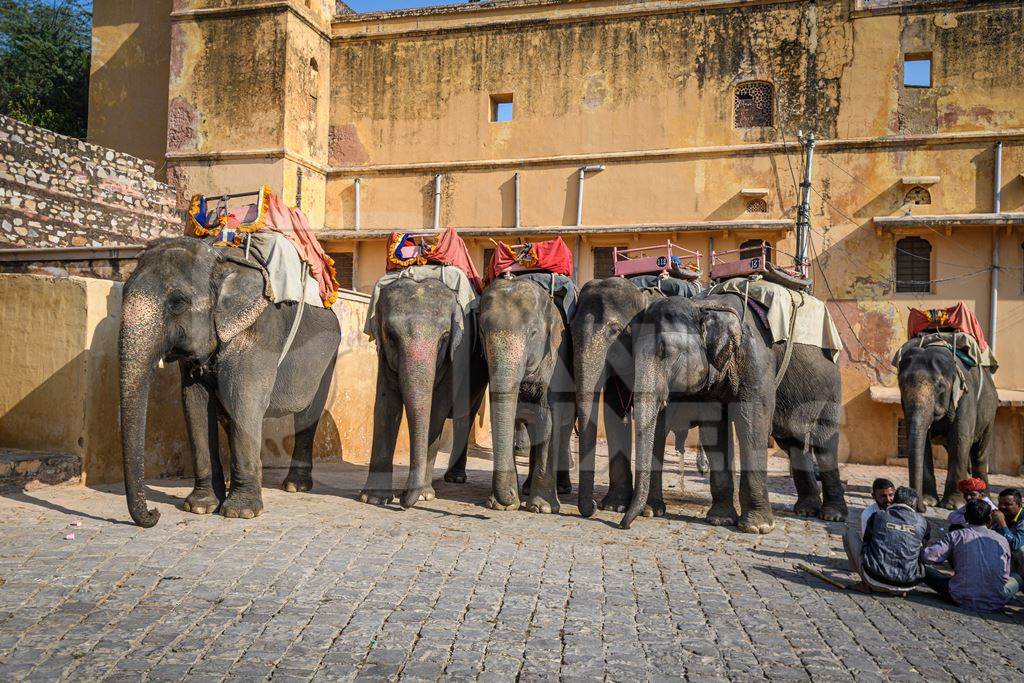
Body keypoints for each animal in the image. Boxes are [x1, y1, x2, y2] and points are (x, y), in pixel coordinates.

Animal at [117, 237, 337, 528]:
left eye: (178, 302)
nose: (154, 514)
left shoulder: (258, 332)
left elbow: (243, 398)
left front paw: (240, 512)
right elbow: (195, 403)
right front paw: (200, 507)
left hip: (328, 359)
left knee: (307, 414)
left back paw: (294, 486)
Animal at [358, 278, 489, 507]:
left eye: (445, 337)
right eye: (391, 336)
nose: (402, 500)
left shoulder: (457, 353)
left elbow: (437, 409)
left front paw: (422, 495)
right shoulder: (384, 356)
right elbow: (386, 406)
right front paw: (374, 498)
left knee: (465, 418)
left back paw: (455, 478)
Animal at [475, 278, 573, 511]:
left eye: (533, 333)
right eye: (482, 331)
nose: (511, 494)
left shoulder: (556, 361)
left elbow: (548, 421)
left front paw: (542, 508)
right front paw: (501, 505)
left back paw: (562, 488)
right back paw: (527, 488)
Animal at [614, 294, 847, 532]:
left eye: (665, 353)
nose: (623, 525)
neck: (704, 306)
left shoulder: (757, 362)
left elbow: (753, 424)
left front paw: (757, 527)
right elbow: (714, 430)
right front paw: (720, 520)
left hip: (832, 386)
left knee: (823, 441)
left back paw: (833, 515)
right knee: (792, 441)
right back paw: (807, 510)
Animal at [901, 339, 995, 509]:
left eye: (940, 386)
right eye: (900, 384)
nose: (920, 507)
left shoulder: (965, 395)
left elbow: (960, 439)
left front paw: (953, 505)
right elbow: (923, 442)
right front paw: (929, 501)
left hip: (989, 414)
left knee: (979, 453)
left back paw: (984, 497)